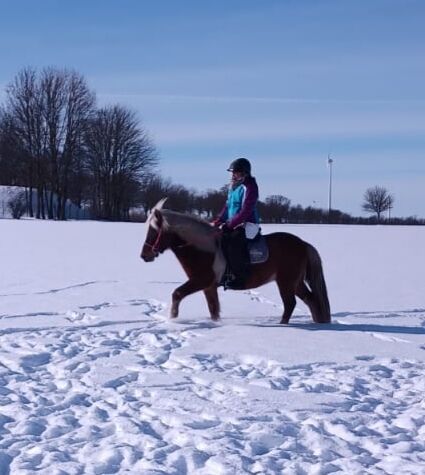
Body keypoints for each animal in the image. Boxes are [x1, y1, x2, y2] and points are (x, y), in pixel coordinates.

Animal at [141, 199, 330, 326]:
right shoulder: (209, 286)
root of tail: (303, 244)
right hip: (295, 282)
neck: (203, 248)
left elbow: (177, 293)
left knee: (291, 304)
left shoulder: (200, 280)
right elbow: (213, 309)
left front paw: (172, 320)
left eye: (153, 231)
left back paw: (283, 324)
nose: (144, 255)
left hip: (286, 282)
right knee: (311, 300)